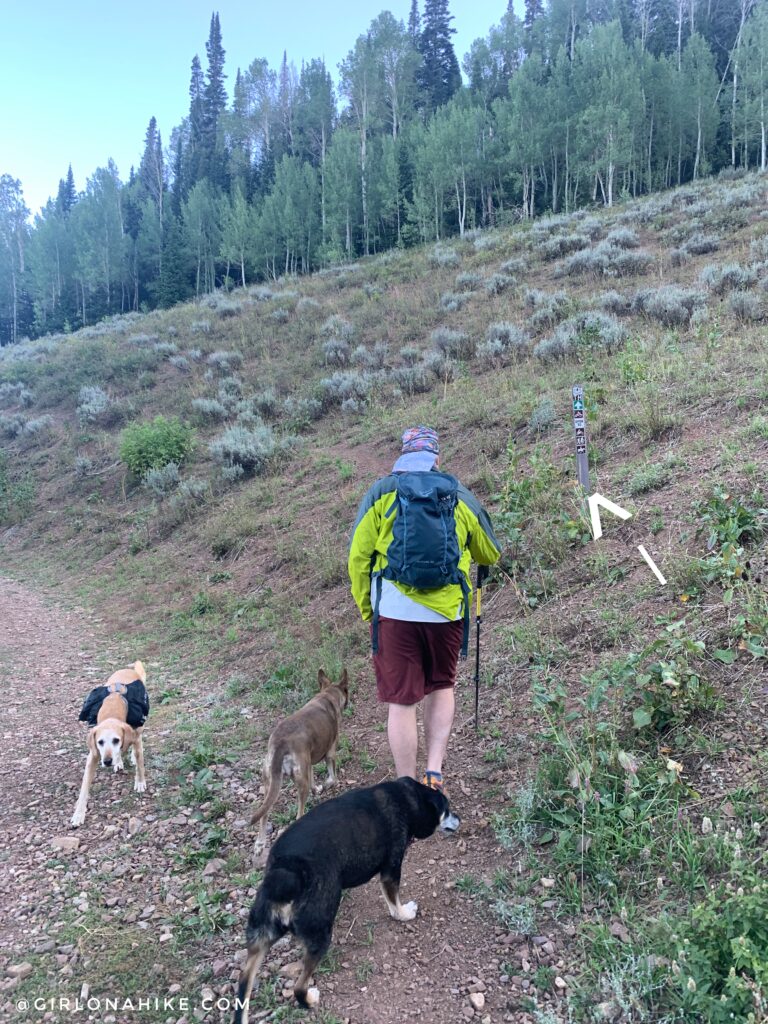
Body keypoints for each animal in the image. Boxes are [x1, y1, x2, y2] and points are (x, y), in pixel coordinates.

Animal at [234, 774, 460, 1015]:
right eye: (447, 809)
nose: (459, 818)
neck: (408, 797)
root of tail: (285, 872)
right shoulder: (391, 868)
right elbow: (394, 902)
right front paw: (405, 913)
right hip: (320, 930)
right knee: (298, 987)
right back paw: (310, 1000)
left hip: (260, 936)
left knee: (244, 983)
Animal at [250, 667, 350, 851]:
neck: (327, 696)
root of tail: (280, 743)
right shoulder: (330, 752)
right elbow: (332, 776)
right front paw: (328, 784)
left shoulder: (308, 761)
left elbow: (313, 778)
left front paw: (317, 789)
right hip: (299, 784)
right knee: (298, 814)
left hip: (270, 783)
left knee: (264, 813)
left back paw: (260, 843)